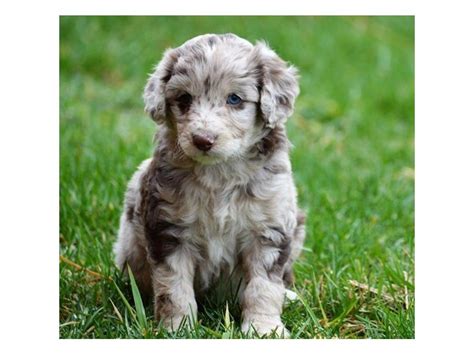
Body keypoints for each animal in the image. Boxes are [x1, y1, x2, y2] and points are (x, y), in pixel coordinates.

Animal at [113, 34, 306, 338]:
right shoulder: (169, 230)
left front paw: (264, 329)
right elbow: (173, 288)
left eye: (235, 99)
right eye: (184, 98)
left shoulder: (269, 230)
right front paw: (177, 328)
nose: (202, 139)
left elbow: (264, 287)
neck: (219, 173)